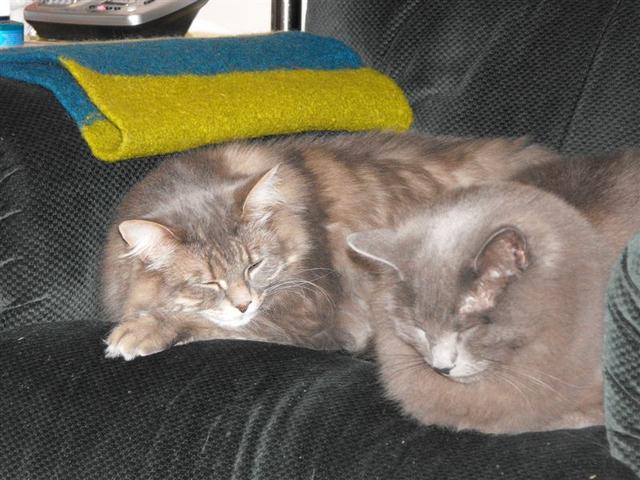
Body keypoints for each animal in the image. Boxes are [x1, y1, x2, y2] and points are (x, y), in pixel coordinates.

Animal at [101, 132, 555, 360]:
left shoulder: (316, 316)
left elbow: (211, 323)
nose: (244, 303)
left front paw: (140, 331)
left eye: (254, 265)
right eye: (208, 283)